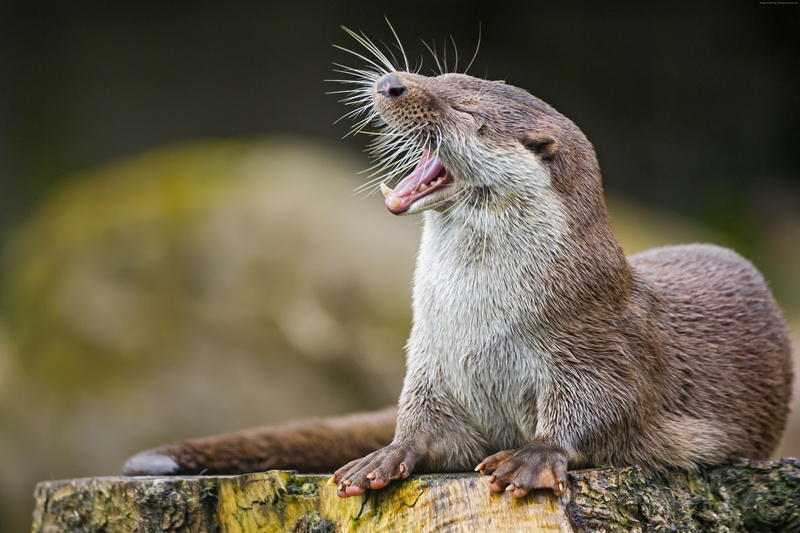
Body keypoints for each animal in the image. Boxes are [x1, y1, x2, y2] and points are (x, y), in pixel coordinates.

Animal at [123, 31, 793, 500]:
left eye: (466, 112)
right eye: (441, 75)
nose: (393, 82)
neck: (480, 321)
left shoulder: (599, 342)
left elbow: (604, 408)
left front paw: (532, 456)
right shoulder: (431, 359)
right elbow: (424, 425)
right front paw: (388, 455)